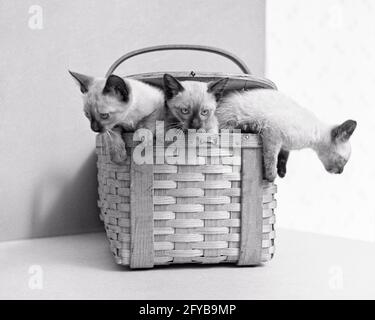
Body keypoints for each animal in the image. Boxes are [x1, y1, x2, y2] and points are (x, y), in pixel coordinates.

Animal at [217, 89, 358, 181]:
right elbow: (271, 160)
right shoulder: (273, 133)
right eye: (343, 161)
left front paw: (282, 173)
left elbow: (283, 157)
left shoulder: (284, 145)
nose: (340, 172)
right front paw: (271, 177)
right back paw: (250, 127)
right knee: (229, 128)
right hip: (233, 120)